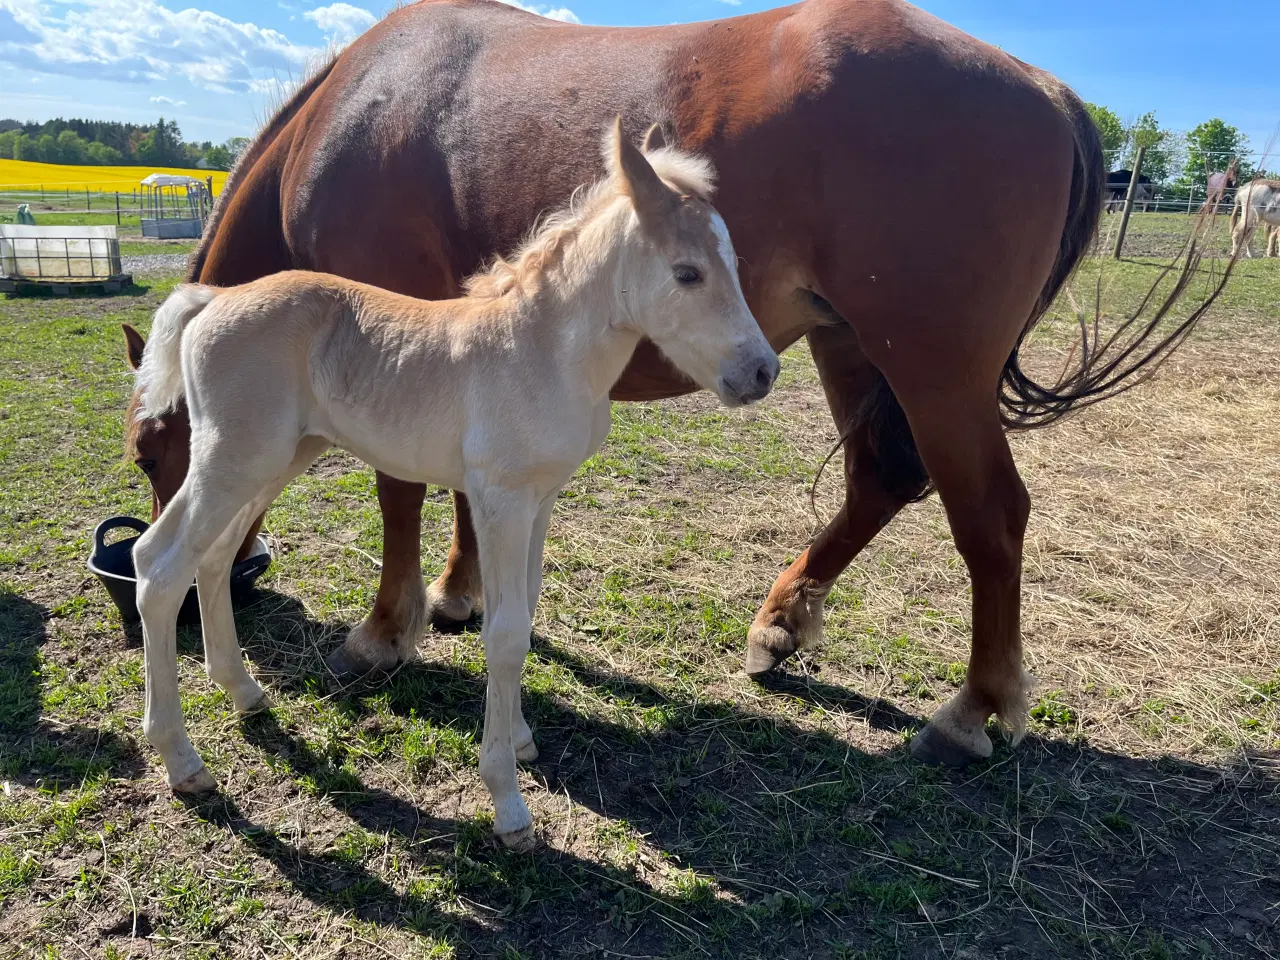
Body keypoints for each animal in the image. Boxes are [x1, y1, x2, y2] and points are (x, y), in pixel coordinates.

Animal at [122, 0, 1208, 768]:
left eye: (150, 450)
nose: (169, 606)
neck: (357, 106)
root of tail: (1042, 86)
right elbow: (464, 495)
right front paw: (458, 592)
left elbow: (400, 489)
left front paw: (388, 627)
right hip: (851, 345)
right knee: (881, 480)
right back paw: (783, 620)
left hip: (934, 367)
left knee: (988, 514)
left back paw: (974, 707)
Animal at [127, 120, 778, 849]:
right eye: (687, 273)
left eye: (733, 263)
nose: (761, 372)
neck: (542, 350)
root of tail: (215, 299)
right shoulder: (500, 499)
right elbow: (505, 633)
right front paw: (509, 804)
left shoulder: (541, 499)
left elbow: (523, 610)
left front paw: (520, 739)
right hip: (235, 458)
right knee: (159, 564)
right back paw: (182, 760)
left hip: (273, 461)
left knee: (209, 559)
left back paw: (242, 692)